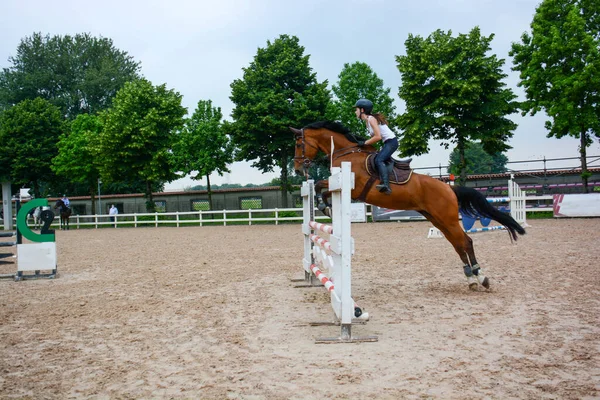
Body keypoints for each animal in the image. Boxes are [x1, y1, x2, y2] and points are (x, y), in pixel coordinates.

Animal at [290, 119, 524, 290]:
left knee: (466, 241)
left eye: (299, 144)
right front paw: (325, 206)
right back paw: (471, 278)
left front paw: (325, 206)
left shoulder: (353, 188)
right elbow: (320, 186)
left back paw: (481, 277)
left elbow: (321, 185)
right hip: (438, 220)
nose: (298, 169)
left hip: (447, 218)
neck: (346, 153)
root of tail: (449, 188)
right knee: (457, 243)